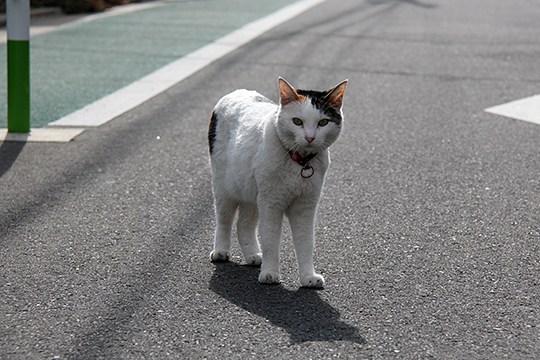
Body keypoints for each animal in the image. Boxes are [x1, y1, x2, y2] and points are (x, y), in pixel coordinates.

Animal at [207, 77, 346, 288]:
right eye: (297, 121)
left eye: (323, 122)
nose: (310, 137)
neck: (299, 162)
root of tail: (236, 92)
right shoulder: (271, 204)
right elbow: (271, 240)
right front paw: (270, 273)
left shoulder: (304, 207)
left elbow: (306, 243)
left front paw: (308, 277)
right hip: (225, 189)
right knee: (224, 221)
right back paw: (221, 252)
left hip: (252, 195)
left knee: (243, 225)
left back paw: (253, 256)